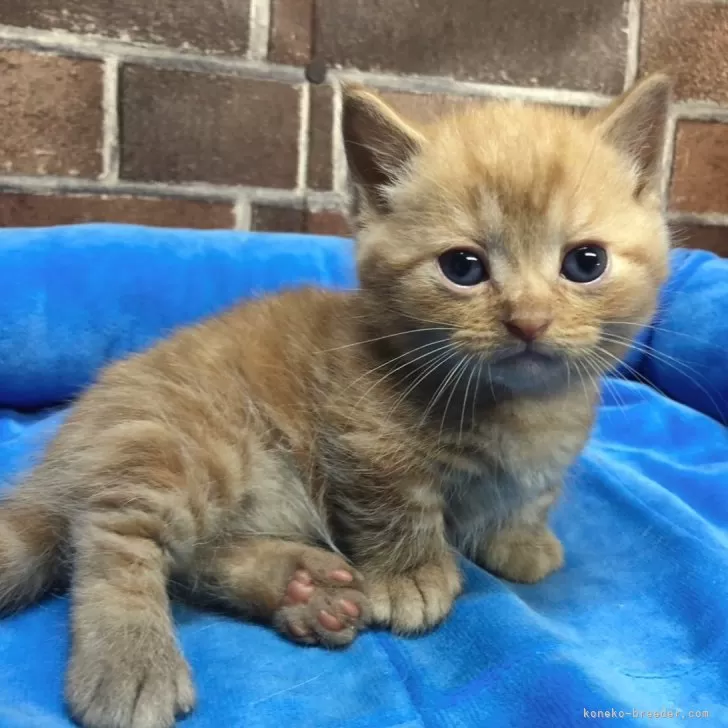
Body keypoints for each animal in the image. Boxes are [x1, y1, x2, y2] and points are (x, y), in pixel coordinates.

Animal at [0, 75, 672, 728]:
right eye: (462, 267)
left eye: (585, 262)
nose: (528, 320)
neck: (519, 407)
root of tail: (68, 445)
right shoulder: (366, 444)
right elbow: (397, 509)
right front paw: (408, 577)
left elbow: (532, 495)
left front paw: (521, 537)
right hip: (189, 444)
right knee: (110, 534)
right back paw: (131, 661)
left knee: (191, 557)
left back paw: (302, 588)